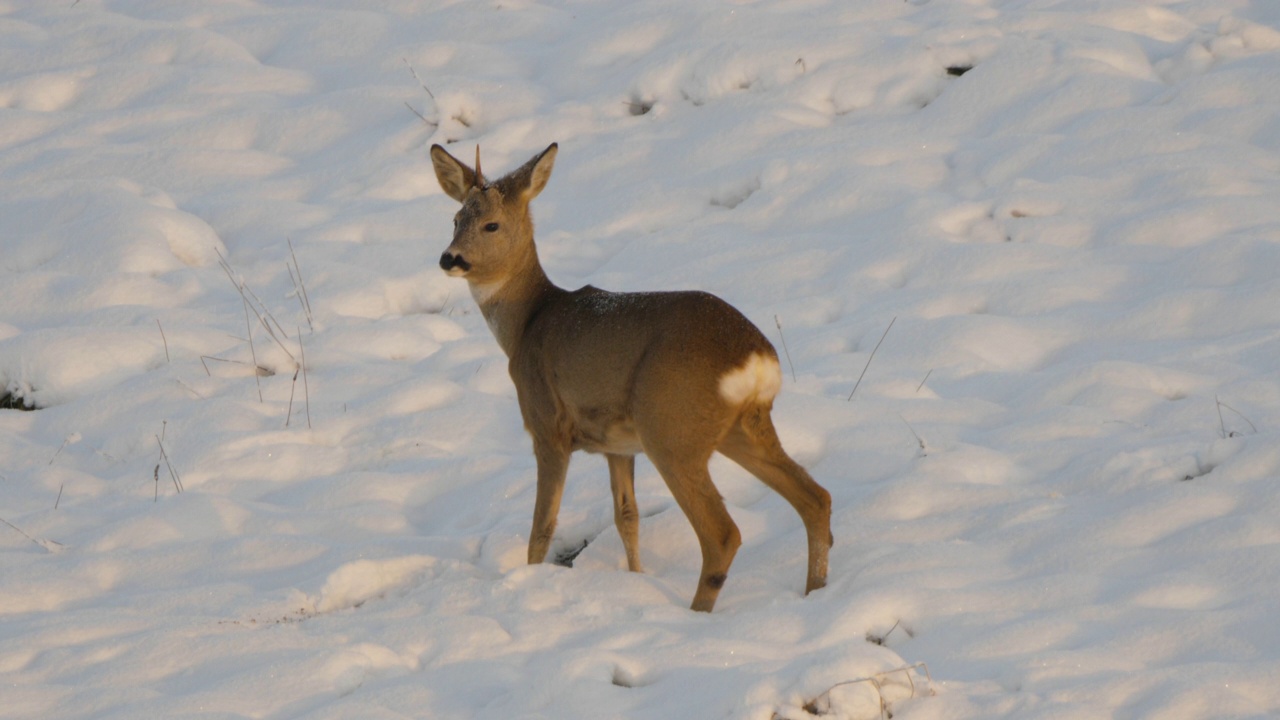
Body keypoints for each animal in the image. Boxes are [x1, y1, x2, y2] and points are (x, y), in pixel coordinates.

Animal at [430, 141, 829, 609]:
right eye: (456, 219)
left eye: (491, 224)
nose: (449, 258)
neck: (528, 323)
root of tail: (756, 358)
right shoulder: (617, 445)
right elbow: (627, 517)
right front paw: (636, 579)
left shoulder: (547, 427)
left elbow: (542, 528)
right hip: (741, 426)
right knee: (815, 498)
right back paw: (816, 591)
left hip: (672, 429)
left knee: (723, 534)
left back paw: (696, 614)